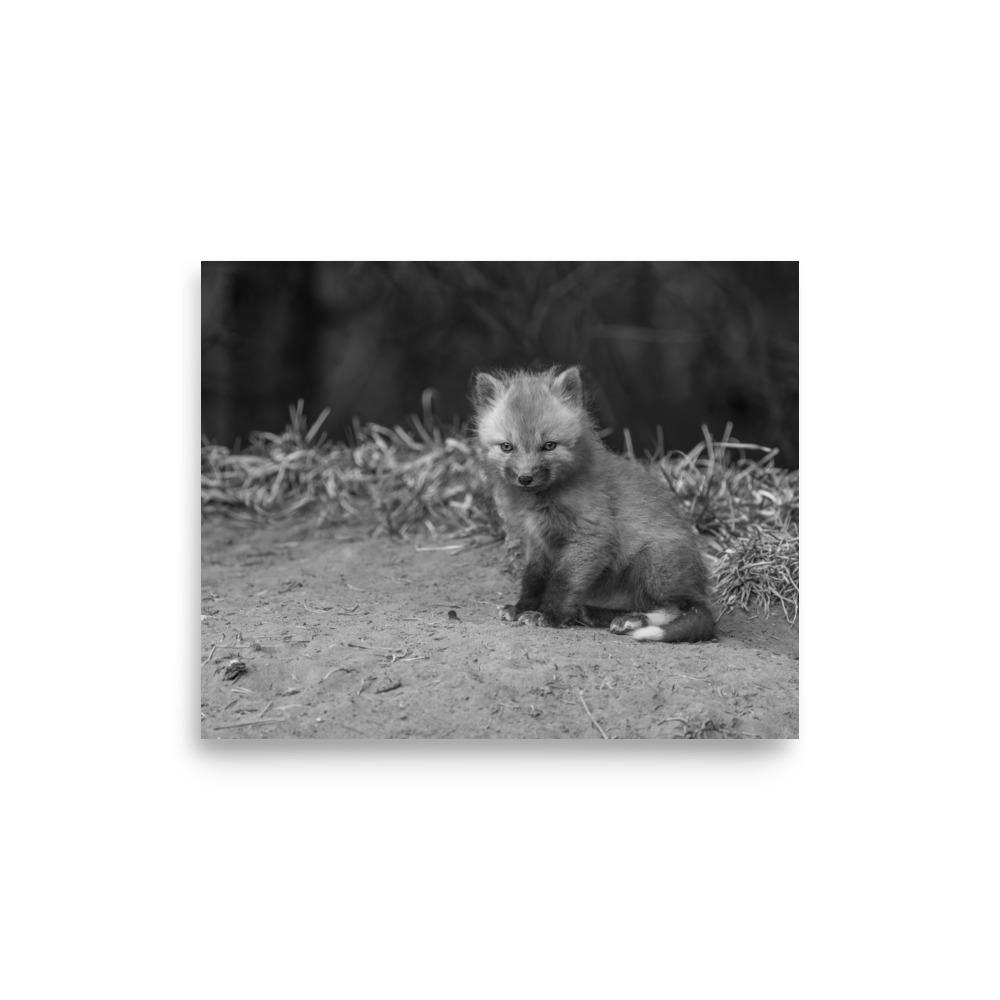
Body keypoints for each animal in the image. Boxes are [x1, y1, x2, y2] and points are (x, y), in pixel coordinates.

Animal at [472, 365, 715, 643]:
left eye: (549, 446)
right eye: (507, 446)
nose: (525, 478)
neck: (542, 502)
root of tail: (699, 588)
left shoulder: (591, 537)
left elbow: (563, 582)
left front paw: (548, 616)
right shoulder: (539, 542)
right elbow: (533, 579)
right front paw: (523, 607)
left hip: (652, 563)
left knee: (678, 608)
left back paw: (632, 621)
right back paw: (593, 614)